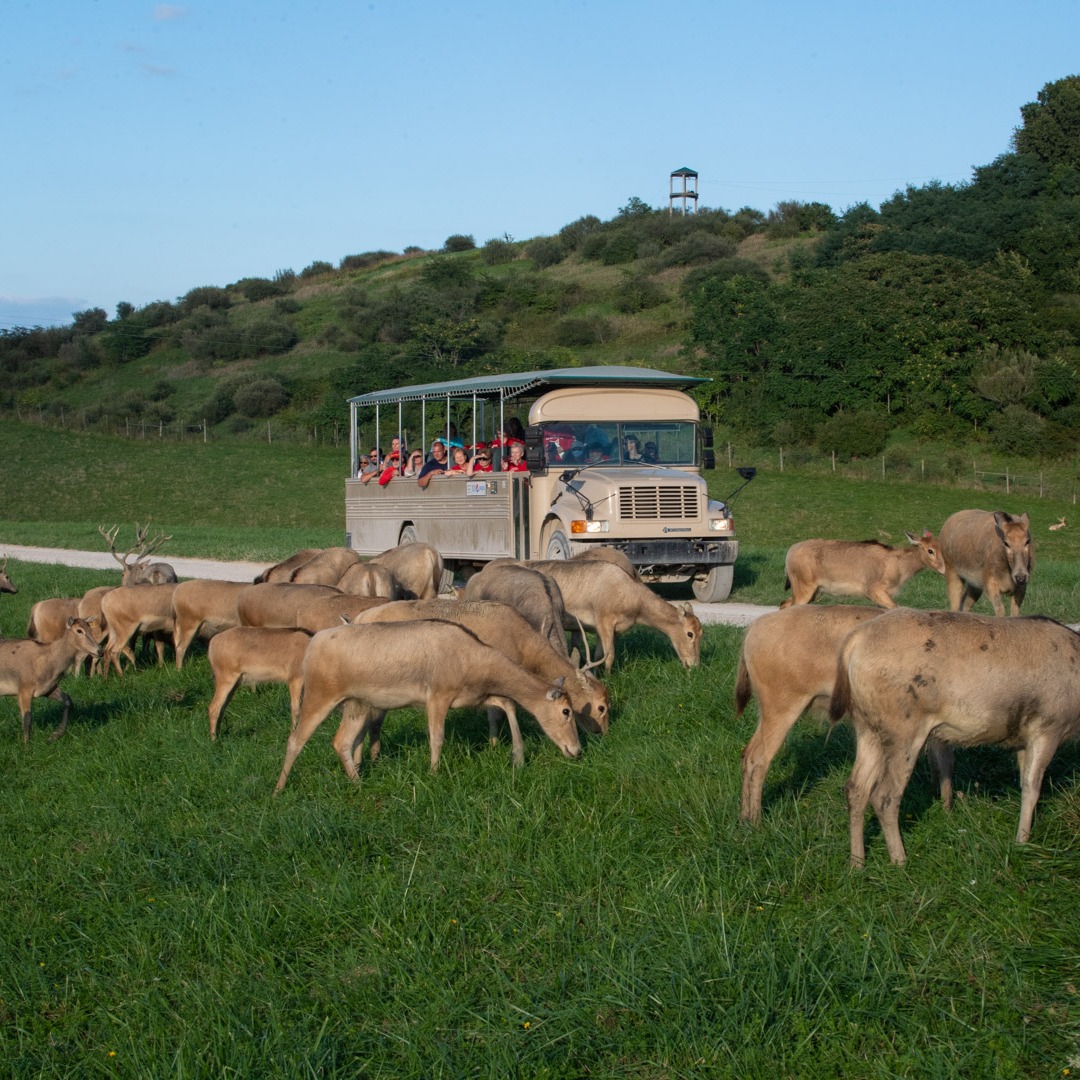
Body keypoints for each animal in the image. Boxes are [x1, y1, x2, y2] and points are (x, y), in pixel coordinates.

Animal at [274, 620, 580, 793]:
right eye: (566, 711)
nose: (576, 750)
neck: (475, 664)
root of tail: (311, 646)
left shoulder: (474, 695)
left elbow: (507, 702)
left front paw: (517, 757)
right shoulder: (438, 695)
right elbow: (437, 737)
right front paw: (433, 774)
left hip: (356, 706)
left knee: (342, 742)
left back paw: (358, 782)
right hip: (319, 694)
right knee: (295, 739)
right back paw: (278, 789)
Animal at [356, 598, 609, 758]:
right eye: (601, 707)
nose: (602, 733)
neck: (523, 646)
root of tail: (358, 618)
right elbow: (498, 711)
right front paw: (496, 744)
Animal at [779, 532, 945, 609]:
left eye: (942, 547)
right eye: (930, 550)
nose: (943, 569)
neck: (900, 567)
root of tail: (788, 555)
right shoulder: (873, 590)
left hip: (814, 591)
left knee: (784, 604)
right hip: (804, 587)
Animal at [832, 608, 1080, 866]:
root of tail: (855, 640)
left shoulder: (1023, 737)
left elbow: (1024, 782)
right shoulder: (1050, 725)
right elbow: (1033, 787)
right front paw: (1023, 842)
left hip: (867, 726)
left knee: (856, 788)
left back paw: (857, 863)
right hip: (903, 726)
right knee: (885, 796)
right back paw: (900, 860)